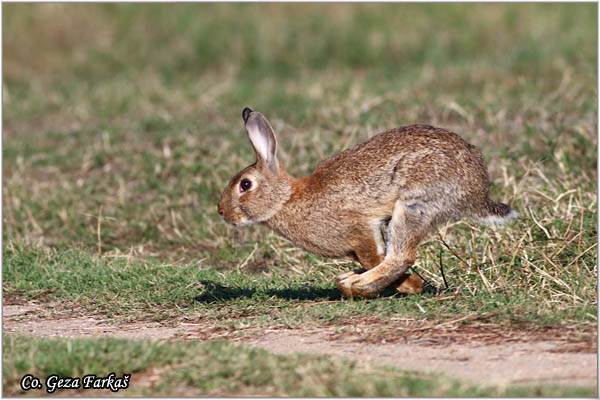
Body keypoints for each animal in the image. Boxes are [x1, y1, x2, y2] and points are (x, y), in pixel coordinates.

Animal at [216, 108, 516, 298]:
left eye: (245, 185)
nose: (221, 212)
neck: (286, 199)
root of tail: (478, 190)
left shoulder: (360, 230)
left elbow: (376, 257)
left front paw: (410, 285)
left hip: (415, 203)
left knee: (401, 255)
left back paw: (357, 283)